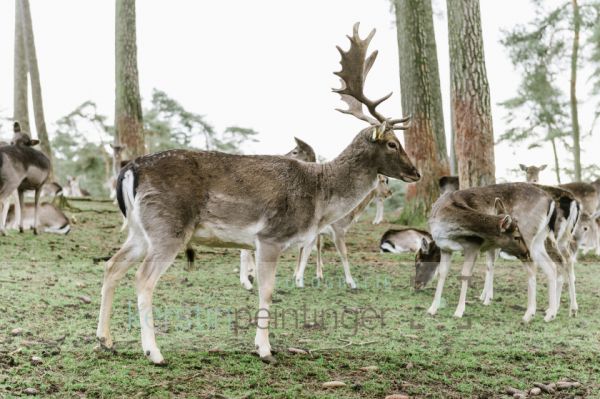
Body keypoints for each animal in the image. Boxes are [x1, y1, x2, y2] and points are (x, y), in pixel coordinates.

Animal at [95, 22, 422, 366]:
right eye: (392, 144)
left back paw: (105, 340)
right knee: (142, 278)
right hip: (167, 227)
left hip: (139, 230)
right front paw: (264, 349)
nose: (416, 172)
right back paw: (154, 352)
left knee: (112, 265)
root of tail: (130, 169)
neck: (319, 198)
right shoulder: (270, 236)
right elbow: (267, 291)